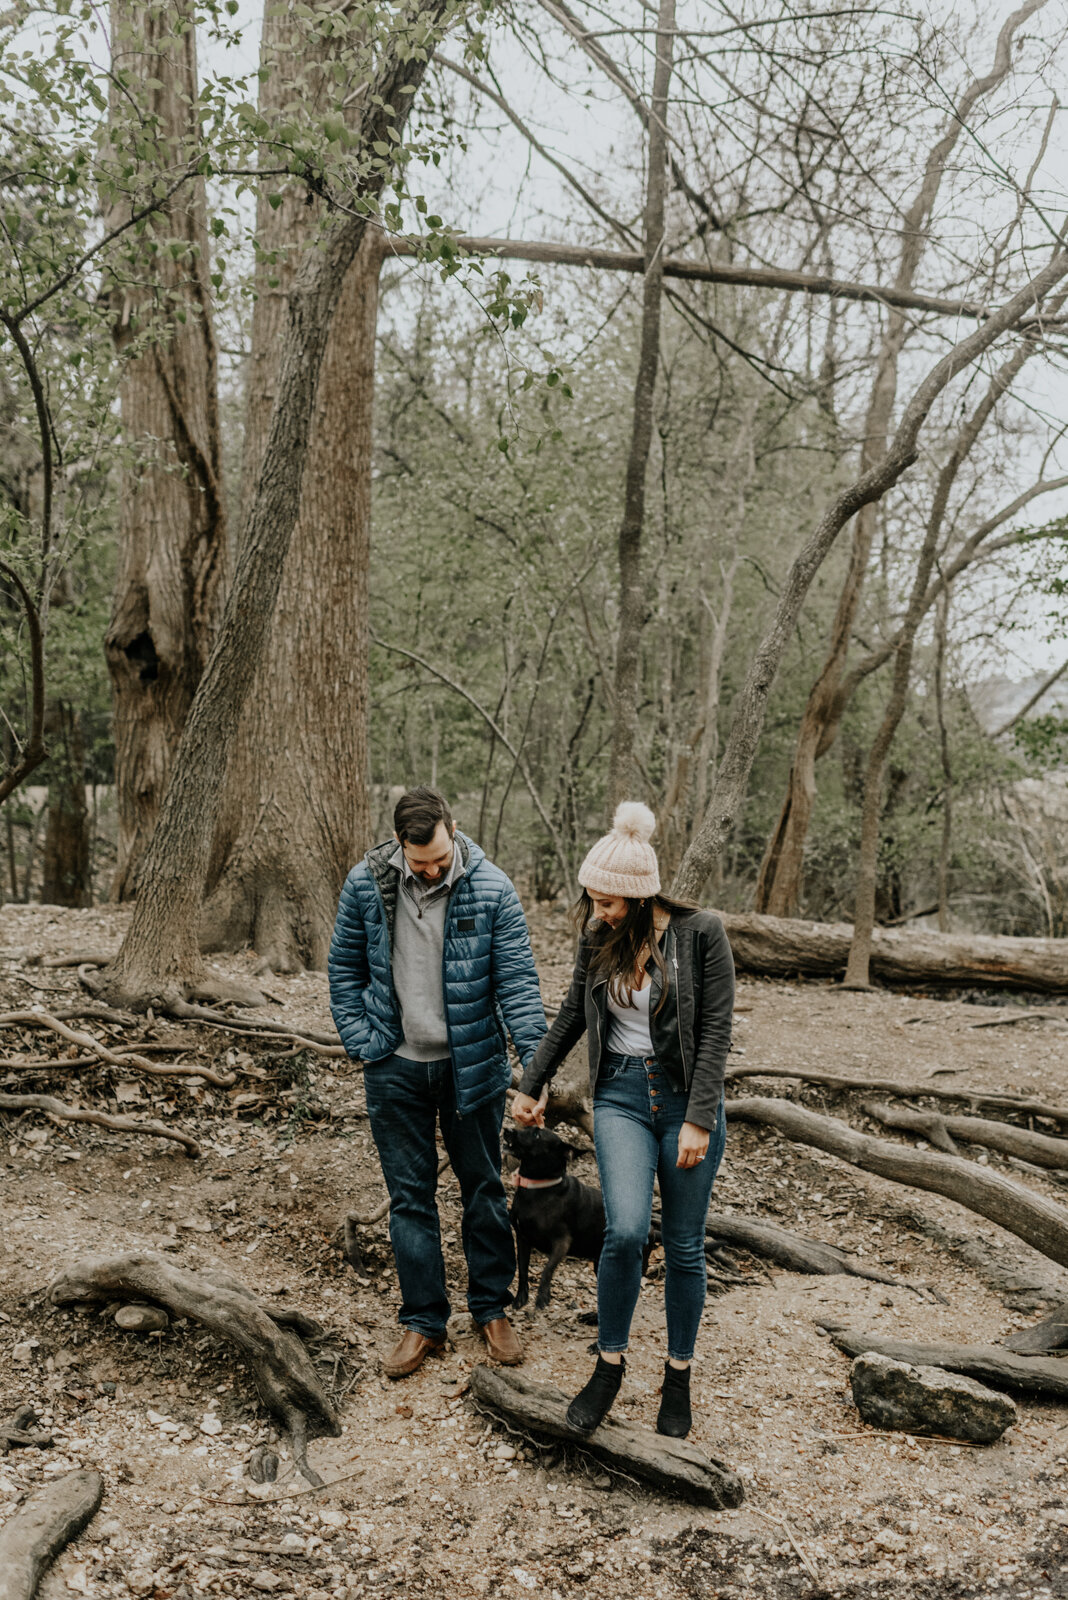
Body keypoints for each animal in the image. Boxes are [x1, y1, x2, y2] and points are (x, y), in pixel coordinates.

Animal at [502, 1126, 601, 1312]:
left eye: (537, 1134)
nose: (507, 1129)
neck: (538, 1187)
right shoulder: (523, 1239)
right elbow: (523, 1270)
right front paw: (521, 1297)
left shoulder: (562, 1243)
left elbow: (547, 1270)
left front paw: (542, 1297)